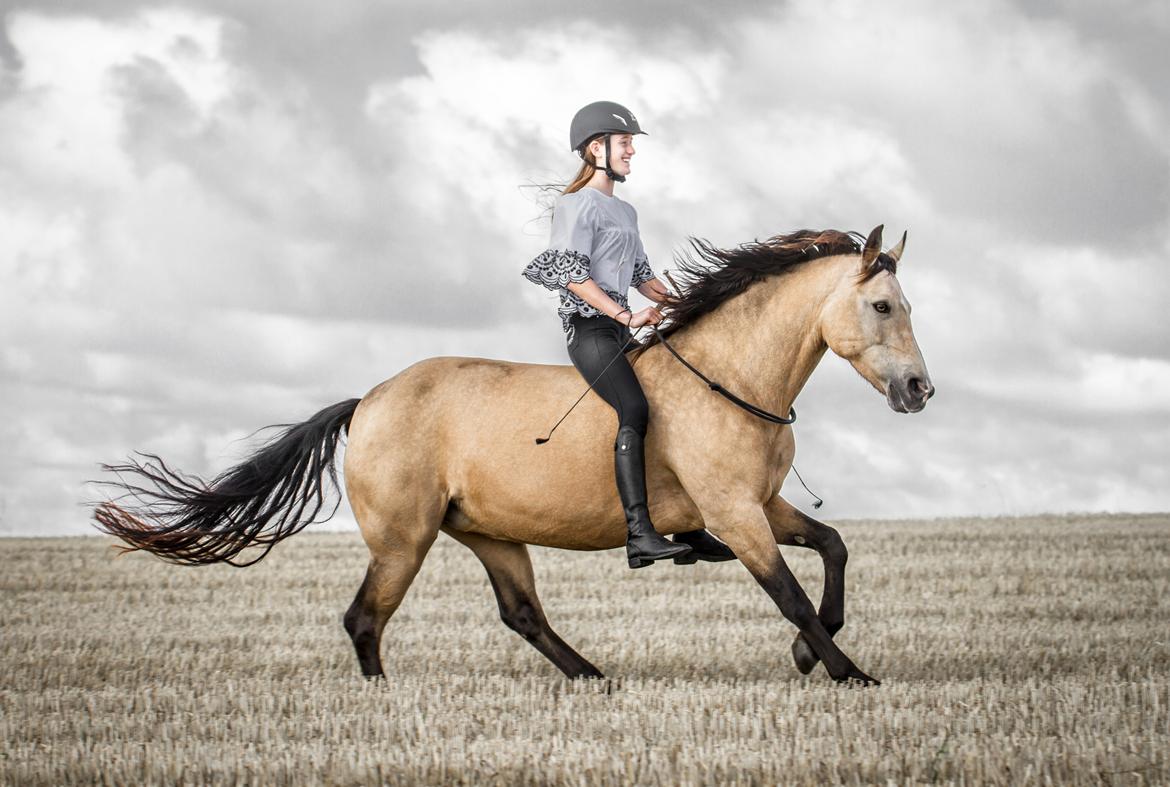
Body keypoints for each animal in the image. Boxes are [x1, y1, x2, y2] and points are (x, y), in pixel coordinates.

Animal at [91, 224, 931, 682]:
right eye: (882, 305)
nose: (920, 389)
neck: (729, 378)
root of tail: (368, 400)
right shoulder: (733, 513)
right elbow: (789, 591)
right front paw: (849, 673)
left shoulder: (760, 504)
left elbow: (834, 547)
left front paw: (809, 655)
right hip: (403, 538)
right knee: (366, 617)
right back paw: (383, 699)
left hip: (489, 531)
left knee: (521, 611)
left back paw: (594, 677)